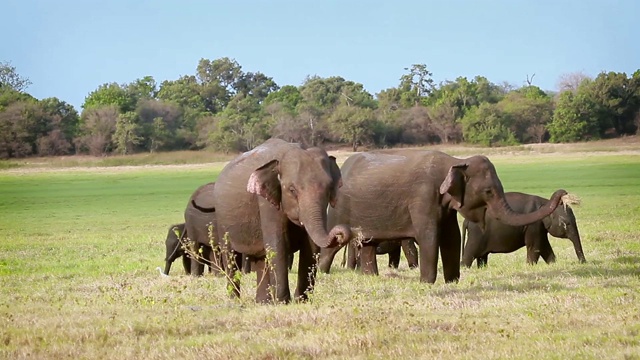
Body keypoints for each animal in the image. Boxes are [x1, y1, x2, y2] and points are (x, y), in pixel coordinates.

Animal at [214, 138, 350, 304]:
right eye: (292, 190)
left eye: (329, 188)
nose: (340, 234)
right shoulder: (266, 203)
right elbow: (278, 244)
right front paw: (283, 302)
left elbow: (311, 246)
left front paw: (301, 301)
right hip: (222, 220)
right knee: (230, 256)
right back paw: (235, 300)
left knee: (261, 258)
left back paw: (263, 302)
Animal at [318, 150, 564, 284]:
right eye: (488, 192)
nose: (563, 193)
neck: (455, 161)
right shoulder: (423, 196)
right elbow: (429, 236)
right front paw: (427, 283)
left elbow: (451, 236)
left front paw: (452, 281)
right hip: (340, 209)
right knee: (333, 246)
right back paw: (321, 272)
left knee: (368, 244)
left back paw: (371, 277)